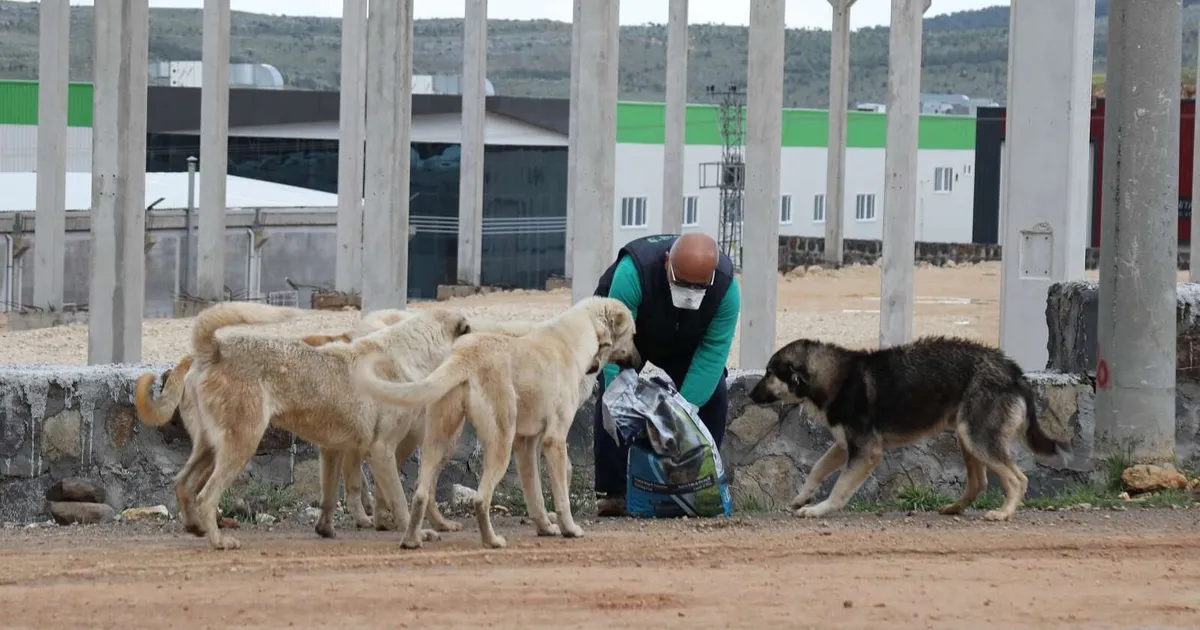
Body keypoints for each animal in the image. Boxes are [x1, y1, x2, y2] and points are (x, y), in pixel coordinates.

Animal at [133, 304, 417, 535]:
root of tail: (203, 354)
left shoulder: (342, 446)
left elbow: (353, 485)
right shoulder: (355, 447)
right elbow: (359, 484)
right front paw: (369, 516)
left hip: (212, 444)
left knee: (187, 484)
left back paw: (200, 525)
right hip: (238, 442)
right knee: (205, 491)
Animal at [352, 297, 643, 547]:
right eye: (632, 334)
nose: (639, 360)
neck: (572, 338)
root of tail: (466, 355)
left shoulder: (526, 444)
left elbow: (535, 494)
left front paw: (545, 527)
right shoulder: (554, 441)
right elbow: (561, 495)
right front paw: (569, 529)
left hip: (440, 438)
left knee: (421, 492)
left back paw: (412, 539)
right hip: (499, 442)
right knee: (481, 498)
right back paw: (491, 541)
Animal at [748, 336, 1070, 518]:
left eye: (769, 373)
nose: (750, 395)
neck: (835, 377)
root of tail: (1014, 372)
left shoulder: (866, 452)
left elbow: (839, 488)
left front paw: (818, 510)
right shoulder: (843, 446)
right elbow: (816, 470)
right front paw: (802, 498)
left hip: (977, 439)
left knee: (1018, 479)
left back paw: (1003, 513)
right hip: (966, 438)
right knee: (979, 482)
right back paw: (954, 508)